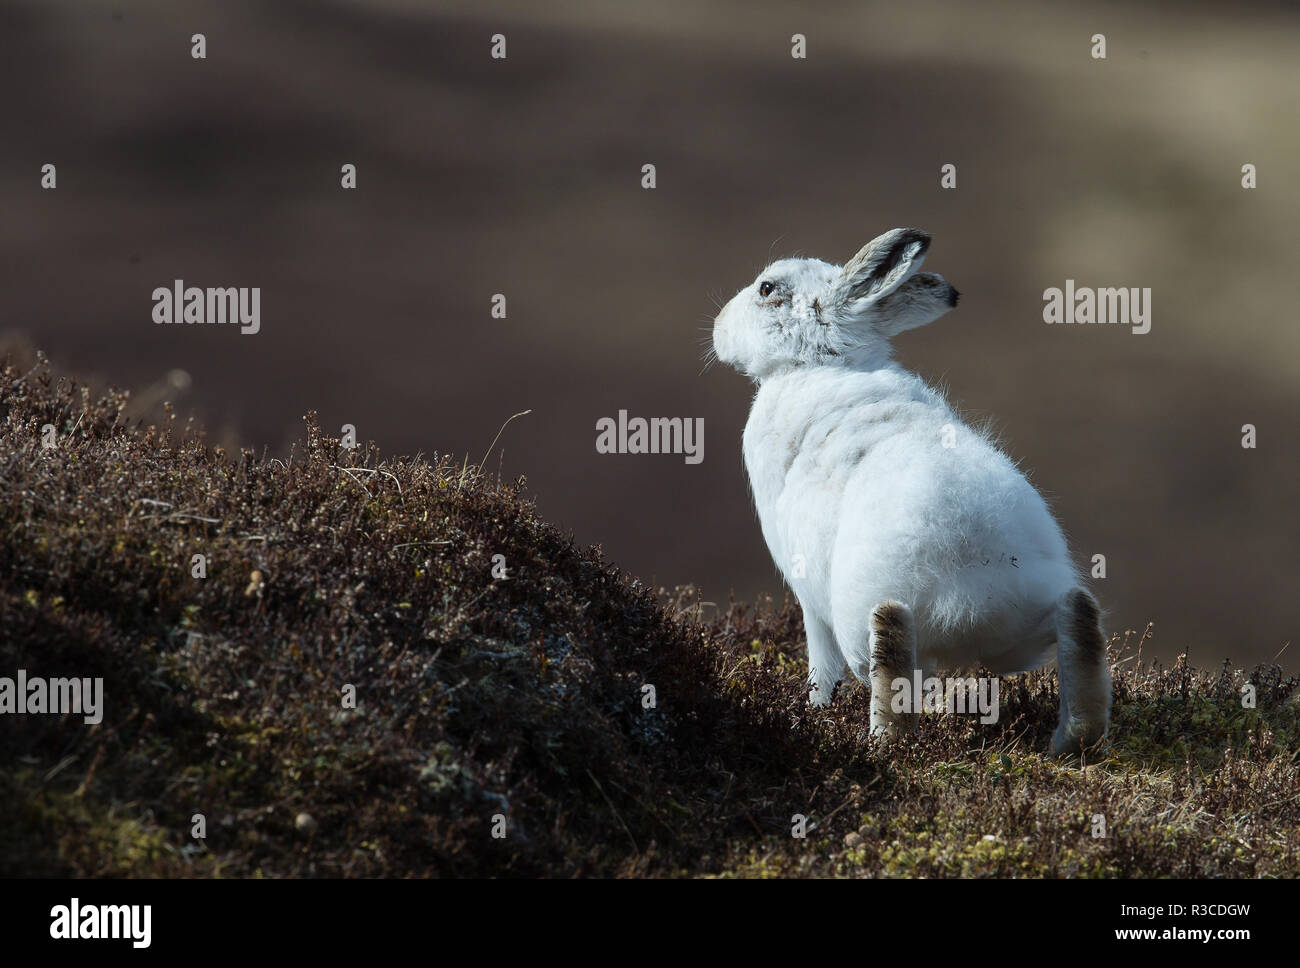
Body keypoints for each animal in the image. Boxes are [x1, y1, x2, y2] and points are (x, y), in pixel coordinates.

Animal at [711, 228, 1110, 756]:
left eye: (767, 289)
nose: (718, 328)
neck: (817, 362)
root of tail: (972, 591)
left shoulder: (807, 594)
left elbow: (820, 662)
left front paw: (814, 709)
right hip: (1026, 628)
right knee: (1077, 623)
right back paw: (1071, 739)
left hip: (862, 617)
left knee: (891, 658)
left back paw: (883, 744)